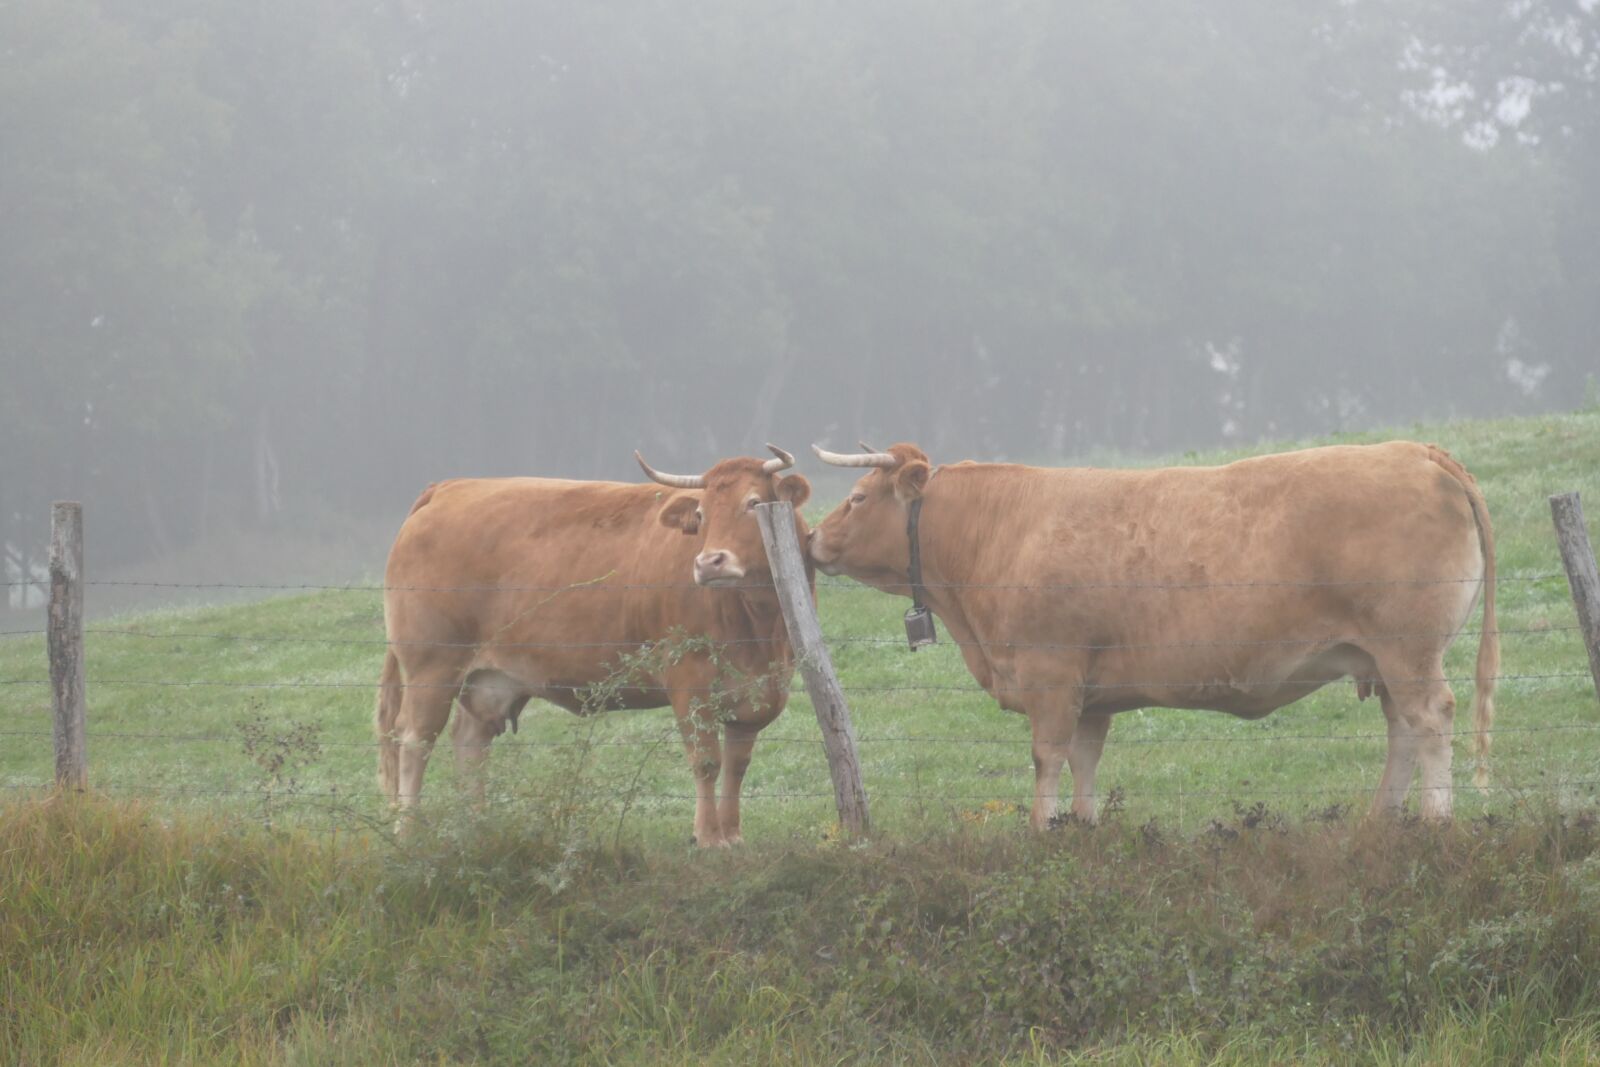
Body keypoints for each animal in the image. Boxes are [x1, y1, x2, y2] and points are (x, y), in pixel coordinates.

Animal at [375, 446, 813, 846]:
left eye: (753, 503)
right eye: (701, 514)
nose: (709, 563)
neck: (757, 623)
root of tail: (449, 487)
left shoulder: (758, 691)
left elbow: (737, 765)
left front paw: (733, 837)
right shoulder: (689, 680)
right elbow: (706, 761)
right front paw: (708, 838)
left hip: (488, 678)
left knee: (470, 741)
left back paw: (475, 828)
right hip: (432, 667)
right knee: (414, 739)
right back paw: (407, 832)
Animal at [808, 441, 1497, 826]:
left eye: (859, 497)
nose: (811, 538)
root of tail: (1414, 449)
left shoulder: (1050, 675)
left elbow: (1046, 759)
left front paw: (1039, 831)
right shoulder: (1091, 694)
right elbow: (1083, 763)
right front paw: (1080, 830)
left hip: (1408, 649)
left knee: (1432, 717)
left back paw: (1436, 818)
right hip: (1382, 657)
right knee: (1402, 729)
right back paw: (1383, 820)